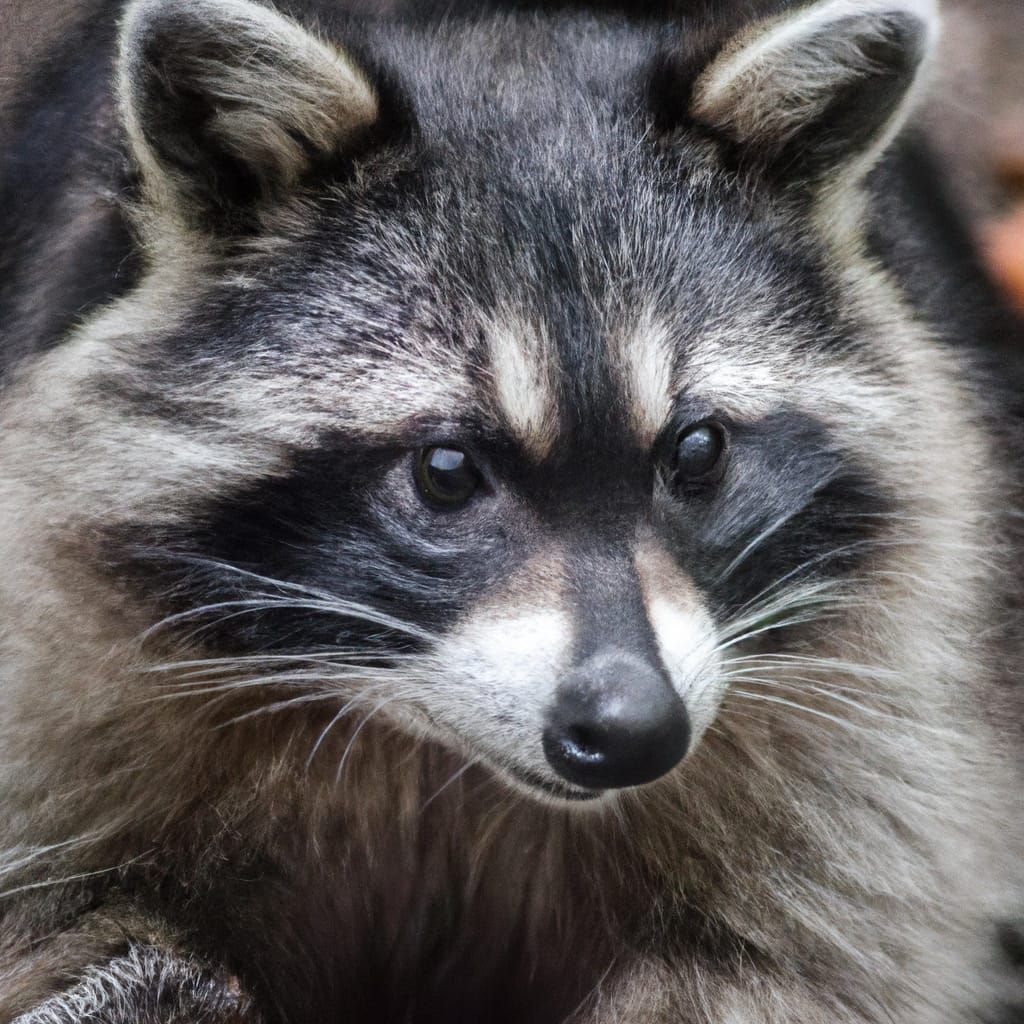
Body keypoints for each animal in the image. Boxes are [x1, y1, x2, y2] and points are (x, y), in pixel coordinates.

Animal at [0, 0, 1022, 1020]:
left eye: (696, 452)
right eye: (447, 471)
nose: (636, 730)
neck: (439, 760)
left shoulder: (874, 745)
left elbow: (802, 961)